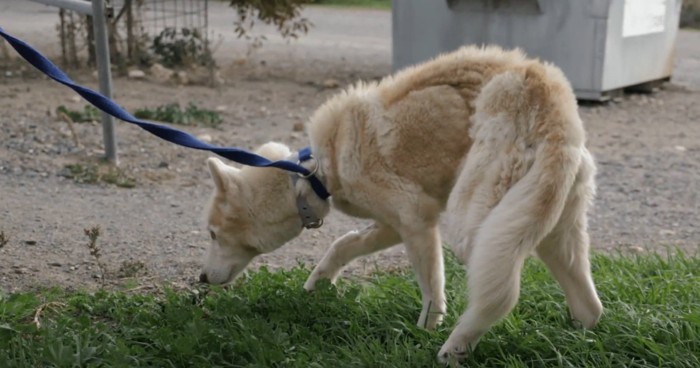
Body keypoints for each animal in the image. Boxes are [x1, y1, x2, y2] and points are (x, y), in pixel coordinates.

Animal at [197, 46, 600, 362]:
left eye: (213, 234)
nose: (200, 279)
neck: (316, 171)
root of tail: (550, 96)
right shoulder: (391, 225)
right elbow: (343, 244)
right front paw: (316, 286)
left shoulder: (417, 219)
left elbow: (431, 287)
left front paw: (425, 330)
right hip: (546, 228)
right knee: (590, 307)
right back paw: (577, 340)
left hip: (478, 228)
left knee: (497, 297)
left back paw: (454, 348)